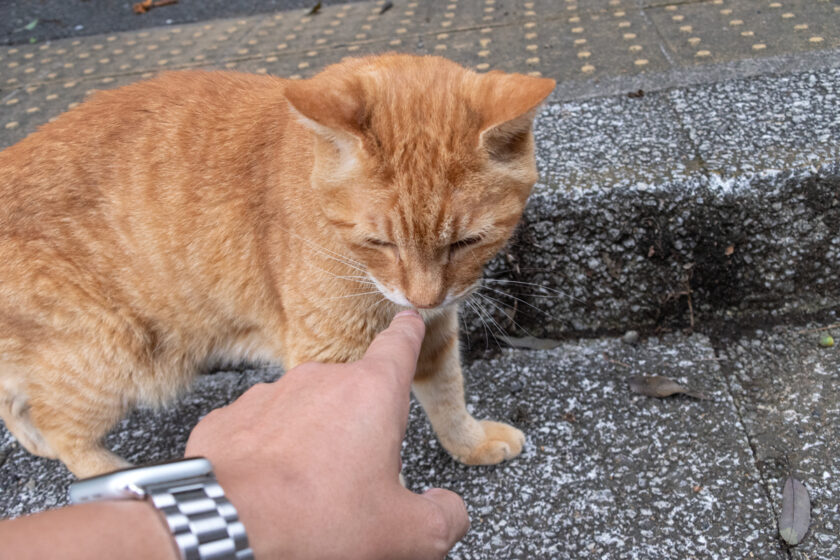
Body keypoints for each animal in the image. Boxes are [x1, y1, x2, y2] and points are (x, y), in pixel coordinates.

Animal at [0, 54, 556, 476]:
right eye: (379, 241)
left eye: (467, 242)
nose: (421, 298)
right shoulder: (332, 358)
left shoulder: (434, 330)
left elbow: (447, 396)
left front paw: (470, 443)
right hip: (112, 357)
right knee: (62, 426)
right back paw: (116, 481)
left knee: (17, 400)